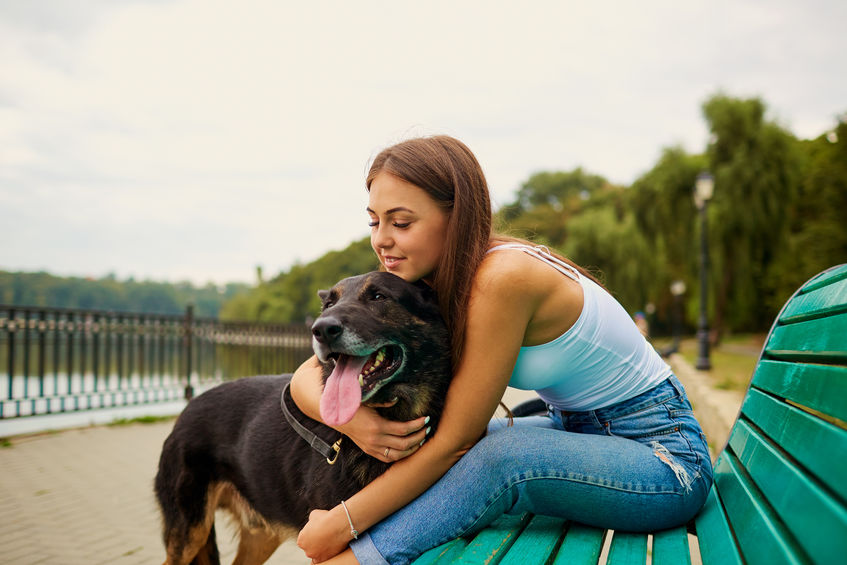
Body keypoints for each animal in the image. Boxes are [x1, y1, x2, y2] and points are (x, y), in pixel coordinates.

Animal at [156, 270, 454, 560]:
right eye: (329, 304)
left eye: (378, 296)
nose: (321, 329)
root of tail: (186, 410)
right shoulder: (325, 537)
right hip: (190, 534)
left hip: (258, 537)